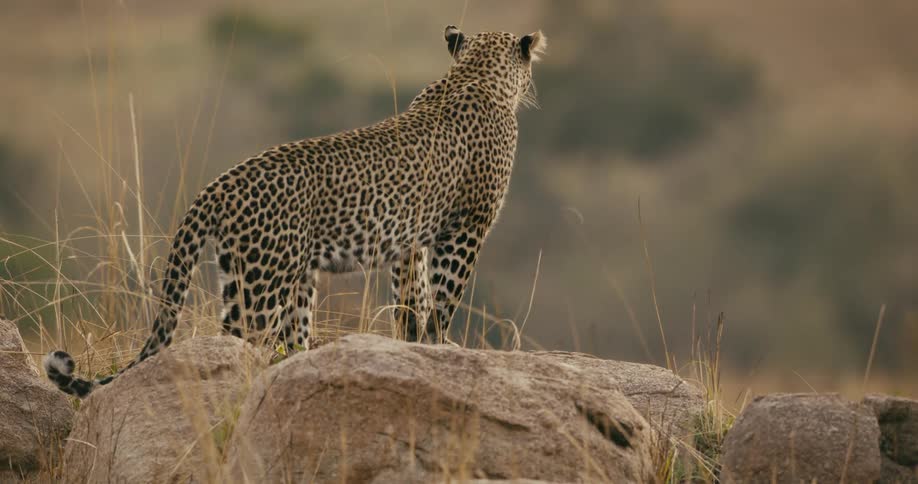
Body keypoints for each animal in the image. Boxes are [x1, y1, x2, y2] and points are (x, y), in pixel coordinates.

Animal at [44, 25, 546, 398]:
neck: (474, 73)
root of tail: (218, 184)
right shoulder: (465, 229)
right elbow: (443, 300)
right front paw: (442, 348)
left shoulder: (414, 243)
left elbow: (412, 301)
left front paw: (414, 349)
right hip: (264, 284)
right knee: (239, 342)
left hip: (265, 276)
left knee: (266, 339)